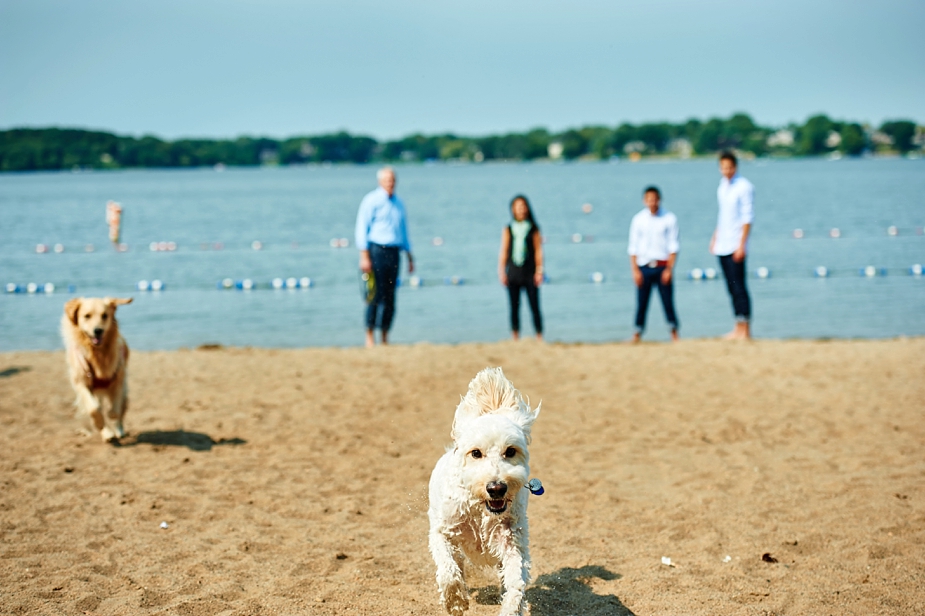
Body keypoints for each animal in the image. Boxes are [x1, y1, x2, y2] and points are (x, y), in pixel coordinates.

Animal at [428, 368, 540, 616]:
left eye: (511, 451)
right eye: (476, 453)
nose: (496, 487)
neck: (481, 510)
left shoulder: (512, 540)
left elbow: (516, 581)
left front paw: (512, 608)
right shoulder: (442, 532)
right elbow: (448, 571)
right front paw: (455, 601)